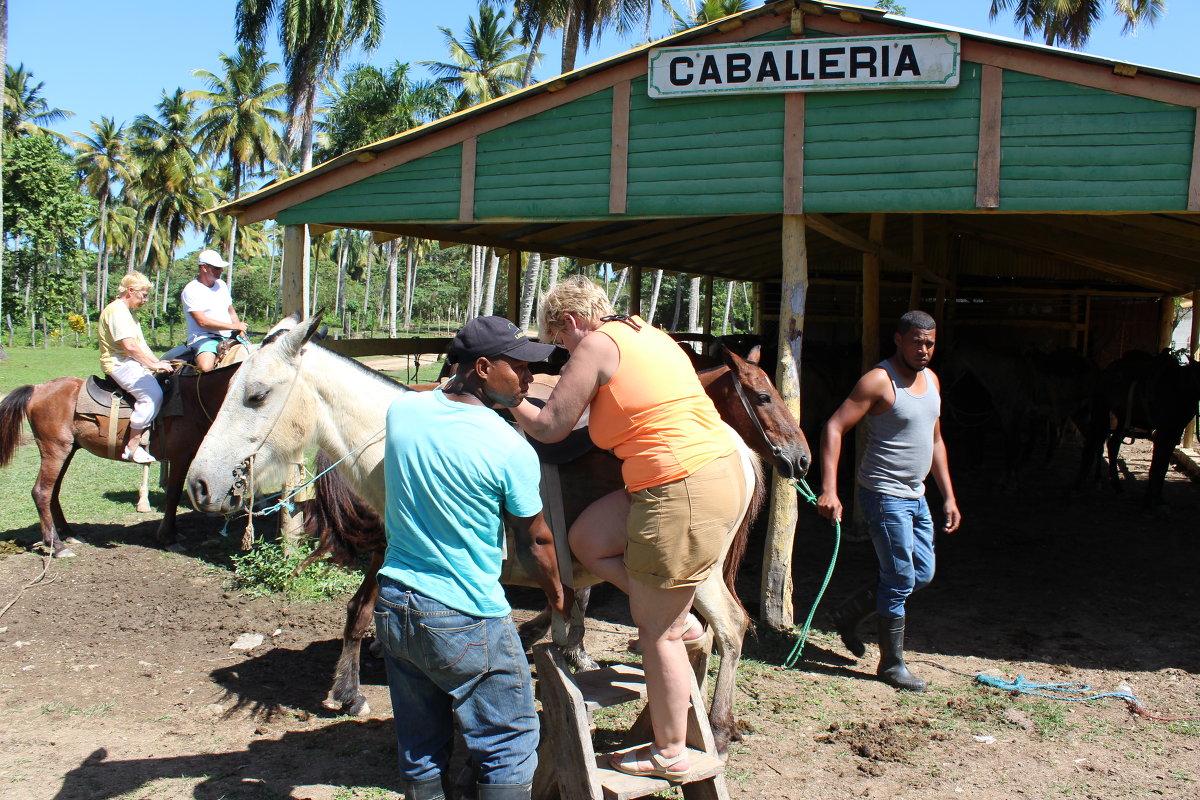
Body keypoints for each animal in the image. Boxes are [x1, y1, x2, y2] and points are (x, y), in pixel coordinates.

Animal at [0, 362, 243, 556]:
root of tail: (37, 389)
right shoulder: (180, 457)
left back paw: (69, 533)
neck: (194, 401)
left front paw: (173, 533)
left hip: (68, 450)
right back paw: (57, 546)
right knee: (41, 491)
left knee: (53, 491)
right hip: (55, 449)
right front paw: (167, 538)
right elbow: (173, 496)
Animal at [182, 316, 811, 753]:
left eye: (257, 395)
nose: (199, 485)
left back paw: (715, 728)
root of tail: (739, 451)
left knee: (728, 629)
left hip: (690, 573)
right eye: (762, 395)